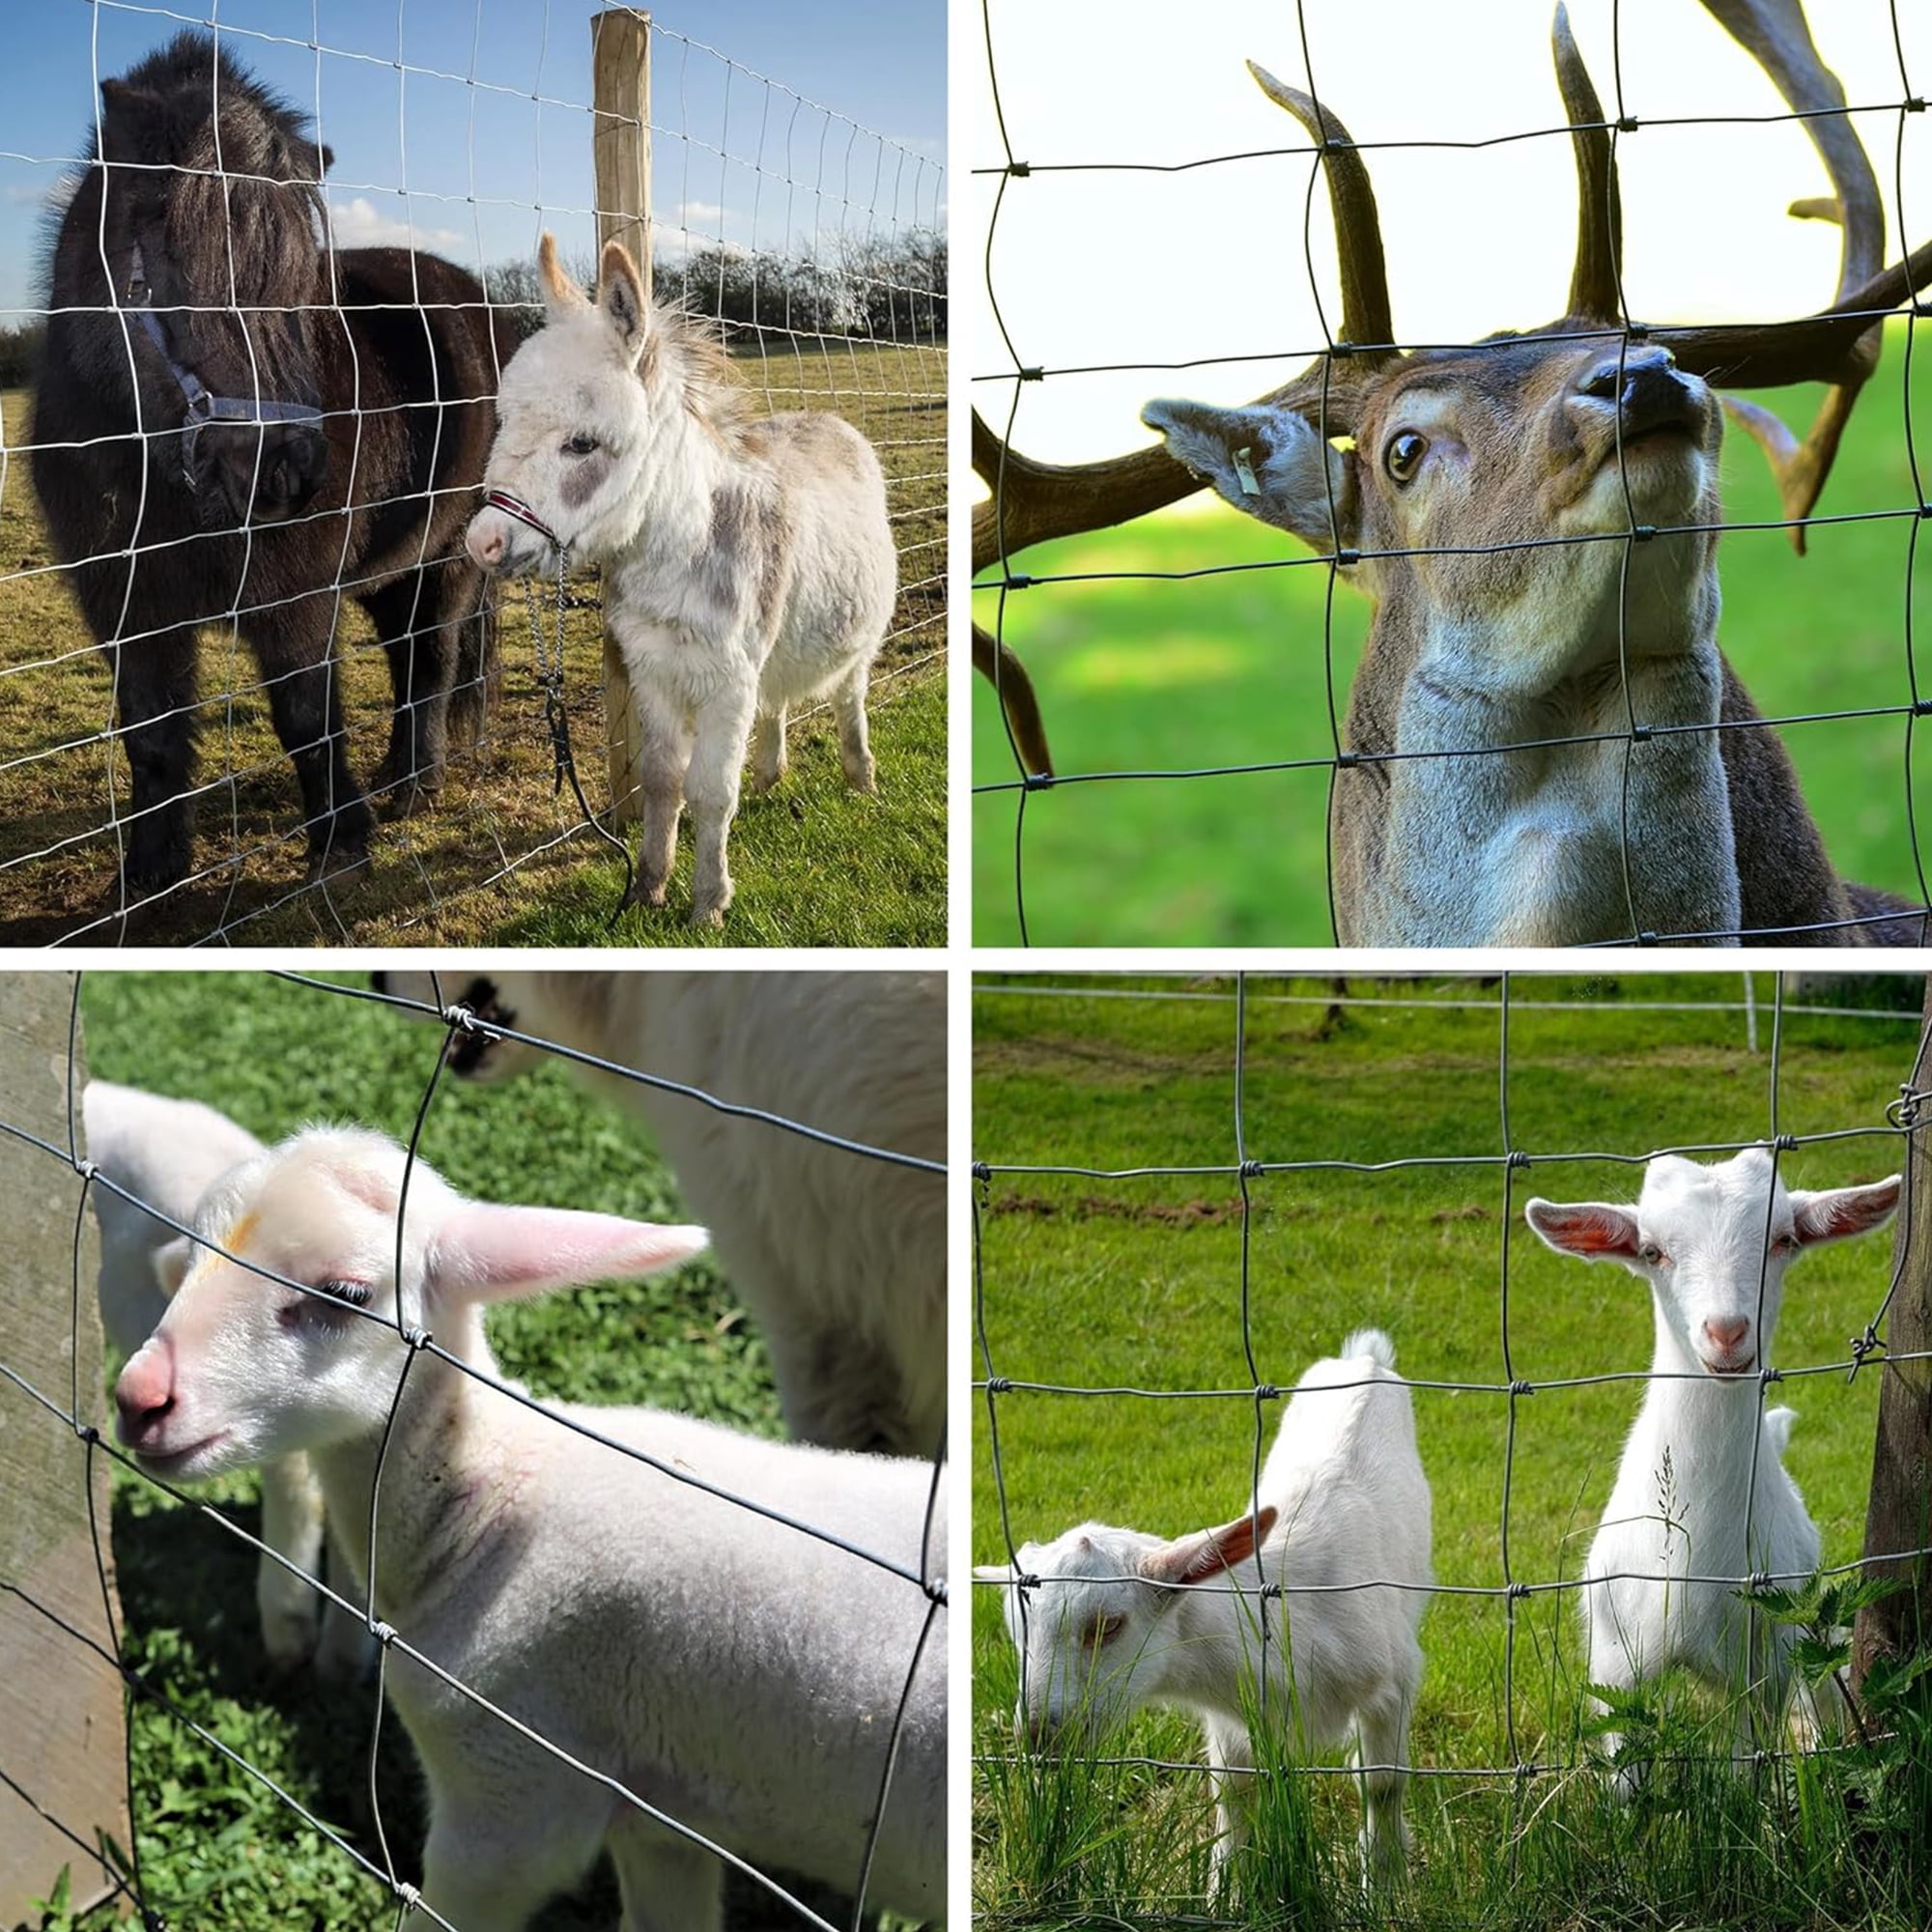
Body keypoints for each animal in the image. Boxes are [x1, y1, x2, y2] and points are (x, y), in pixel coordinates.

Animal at [111, 1125, 946, 1932]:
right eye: (190, 1259)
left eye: (345, 1292)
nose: (140, 1398)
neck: (489, 1507)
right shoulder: (659, 1816)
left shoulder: (509, 1792)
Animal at [465, 236, 897, 928]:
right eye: (505, 422)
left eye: (582, 445)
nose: (483, 543)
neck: (674, 557)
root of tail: (826, 419)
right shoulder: (653, 673)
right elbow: (665, 780)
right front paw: (648, 888)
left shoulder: (727, 682)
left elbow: (712, 792)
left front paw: (709, 905)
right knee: (777, 703)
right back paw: (772, 775)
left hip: (856, 640)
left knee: (847, 699)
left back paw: (861, 781)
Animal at [975, 1330, 1431, 1892]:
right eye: (1018, 1632)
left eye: (1109, 1626)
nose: (1038, 1735)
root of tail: (1363, 1358)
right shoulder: (1232, 1721)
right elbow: (1233, 1794)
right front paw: (1226, 1891)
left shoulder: (1397, 1677)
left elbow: (1382, 1784)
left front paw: (1384, 1884)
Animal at [1525, 1148, 1898, 1771]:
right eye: (1652, 1251)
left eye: (1784, 1239)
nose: (1727, 1332)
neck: (1692, 1557)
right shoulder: (1614, 1666)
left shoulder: (1766, 1665)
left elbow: (1748, 1762)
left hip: (1810, 1633)